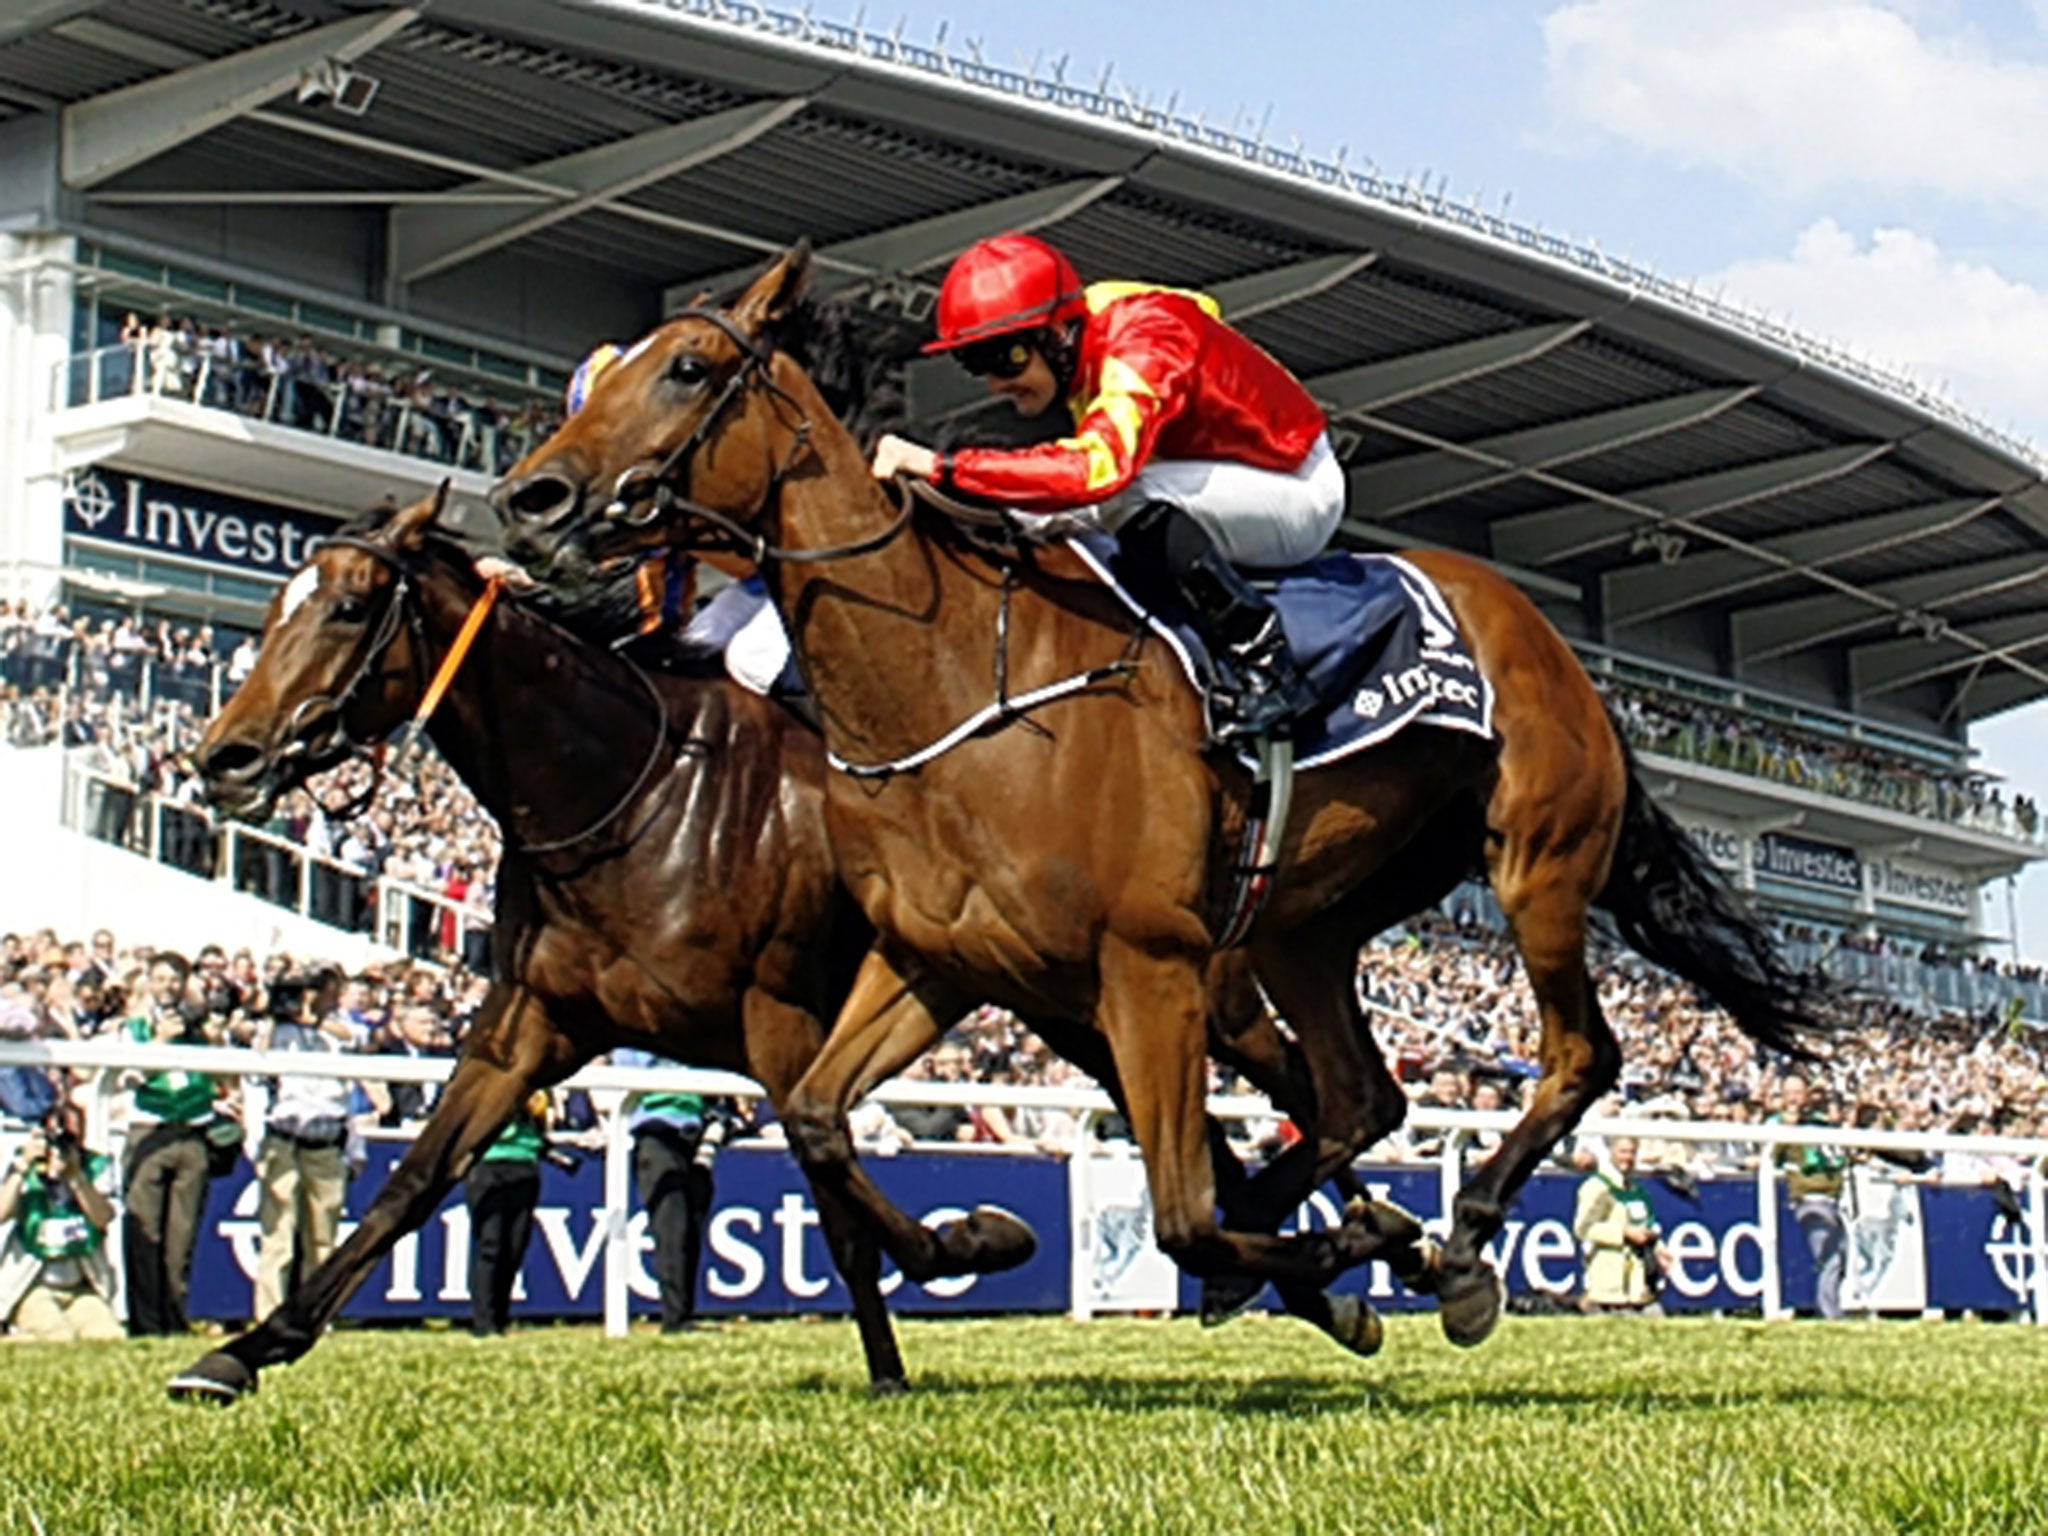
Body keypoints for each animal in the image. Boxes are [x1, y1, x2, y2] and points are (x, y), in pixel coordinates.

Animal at [491, 249, 1826, 1343]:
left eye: (689, 368)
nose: (528, 499)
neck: (953, 685)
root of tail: (1558, 650)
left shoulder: (1149, 965)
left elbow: (1180, 1209)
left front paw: (1340, 1257)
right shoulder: (941, 961)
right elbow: (816, 1115)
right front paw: (980, 1237)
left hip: (1535, 863)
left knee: (1577, 1053)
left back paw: (1452, 1241)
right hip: (1301, 924)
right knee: (1360, 1096)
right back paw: (1357, 1241)